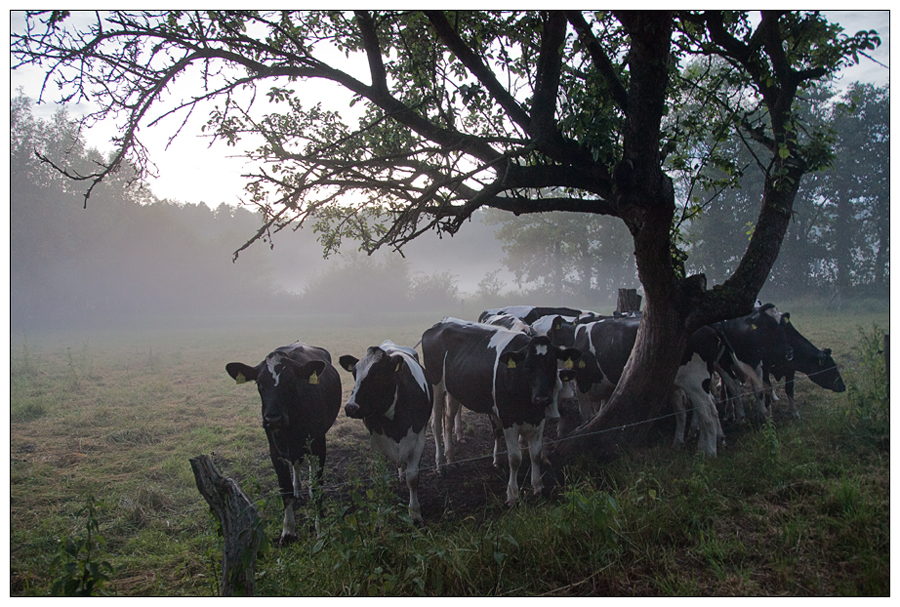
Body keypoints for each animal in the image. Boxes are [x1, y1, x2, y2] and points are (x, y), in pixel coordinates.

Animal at [225, 340, 342, 544]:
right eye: (260, 384)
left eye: (291, 382)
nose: (273, 419)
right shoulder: (275, 450)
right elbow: (284, 489)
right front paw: (288, 531)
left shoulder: (319, 444)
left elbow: (317, 486)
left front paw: (320, 528)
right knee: (295, 464)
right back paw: (298, 488)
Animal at [340, 340, 434, 524]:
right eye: (354, 374)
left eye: (377, 375)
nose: (350, 407)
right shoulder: (376, 443)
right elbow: (381, 478)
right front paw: (381, 514)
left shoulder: (419, 439)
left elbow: (413, 477)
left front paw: (415, 513)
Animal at [420, 320, 580, 506]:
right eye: (527, 366)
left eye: (552, 365)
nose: (542, 399)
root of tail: (439, 324)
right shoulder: (508, 418)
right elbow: (515, 458)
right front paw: (512, 495)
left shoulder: (538, 418)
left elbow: (536, 453)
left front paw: (538, 487)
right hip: (436, 386)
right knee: (436, 424)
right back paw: (440, 464)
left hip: (454, 390)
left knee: (448, 420)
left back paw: (451, 459)